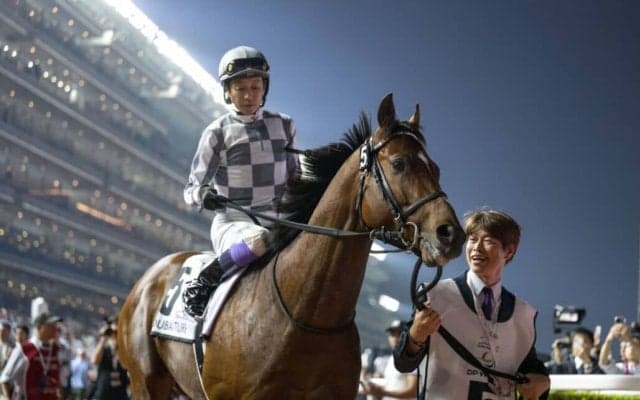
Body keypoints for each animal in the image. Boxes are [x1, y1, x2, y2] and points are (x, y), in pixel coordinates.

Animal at [117, 94, 465, 399]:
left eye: (435, 168)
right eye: (399, 163)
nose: (451, 234)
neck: (308, 315)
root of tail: (152, 274)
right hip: (146, 380)